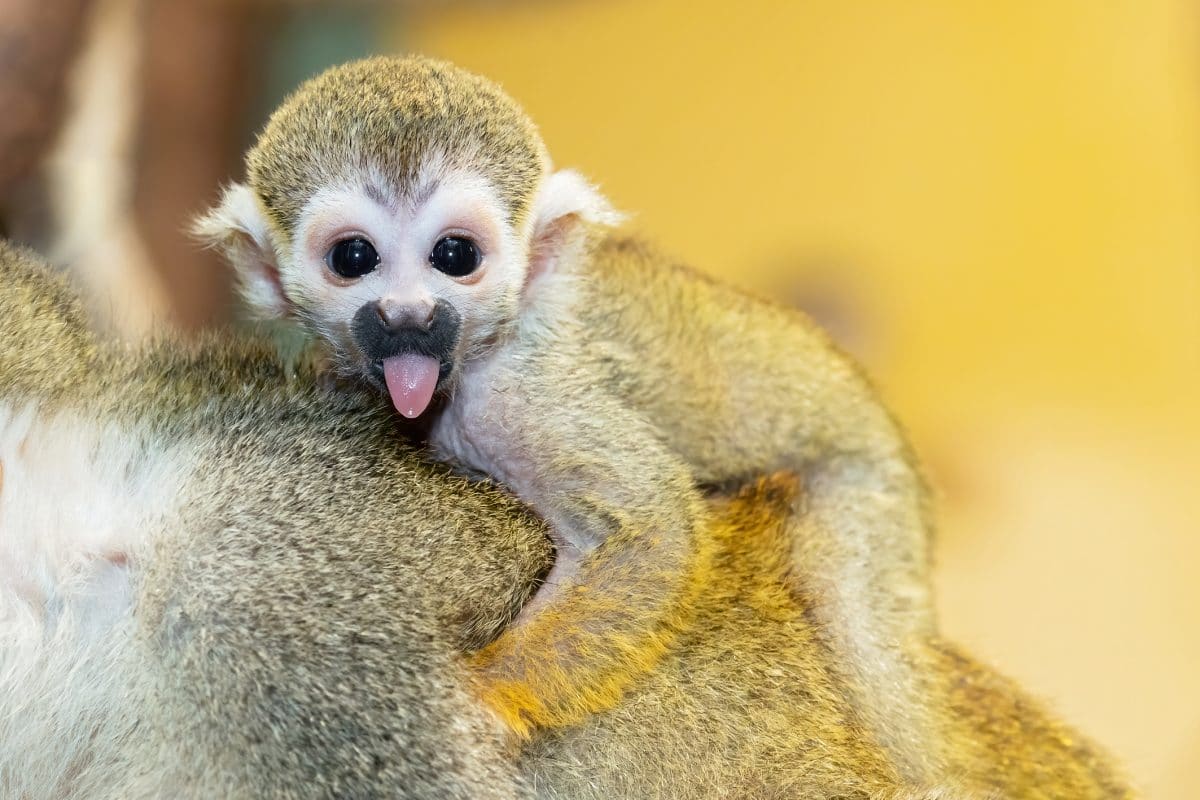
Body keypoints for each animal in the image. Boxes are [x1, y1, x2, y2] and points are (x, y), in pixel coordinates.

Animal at [199, 54, 936, 767]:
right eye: (353, 256)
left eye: (454, 255)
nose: (407, 316)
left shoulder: (517, 398)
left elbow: (650, 527)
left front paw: (486, 703)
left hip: (869, 497)